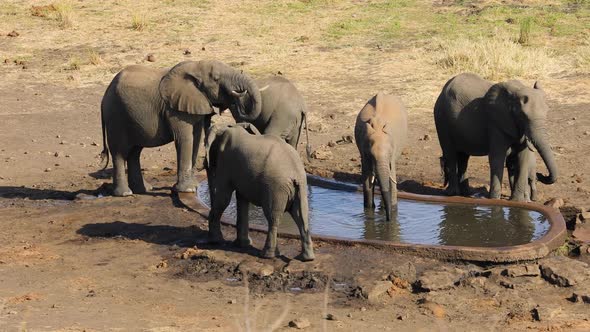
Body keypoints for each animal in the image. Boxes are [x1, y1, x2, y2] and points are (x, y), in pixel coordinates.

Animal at [99, 59, 262, 197]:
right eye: (216, 78)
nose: (237, 98)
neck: (195, 66)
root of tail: (104, 95)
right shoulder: (174, 110)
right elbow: (185, 139)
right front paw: (188, 190)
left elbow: (196, 138)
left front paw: (194, 186)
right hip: (115, 116)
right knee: (119, 152)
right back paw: (125, 193)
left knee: (135, 152)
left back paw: (143, 189)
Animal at [205, 123, 314, 260]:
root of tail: (294, 172)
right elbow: (242, 200)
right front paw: (242, 244)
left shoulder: (226, 163)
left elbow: (224, 198)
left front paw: (215, 241)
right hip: (301, 186)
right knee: (301, 215)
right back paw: (306, 258)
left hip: (276, 187)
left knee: (273, 217)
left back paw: (267, 255)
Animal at [354, 92, 410, 220]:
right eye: (371, 156)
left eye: (389, 154)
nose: (388, 219)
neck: (378, 127)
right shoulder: (363, 150)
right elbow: (367, 180)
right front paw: (369, 209)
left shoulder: (393, 152)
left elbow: (391, 179)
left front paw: (392, 211)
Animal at [434, 72, 560, 200]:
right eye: (522, 116)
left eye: (547, 113)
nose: (541, 174)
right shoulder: (496, 123)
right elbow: (497, 157)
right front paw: (494, 199)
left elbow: (523, 158)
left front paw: (517, 201)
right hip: (441, 120)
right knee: (450, 153)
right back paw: (453, 194)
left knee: (463, 157)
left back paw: (466, 193)